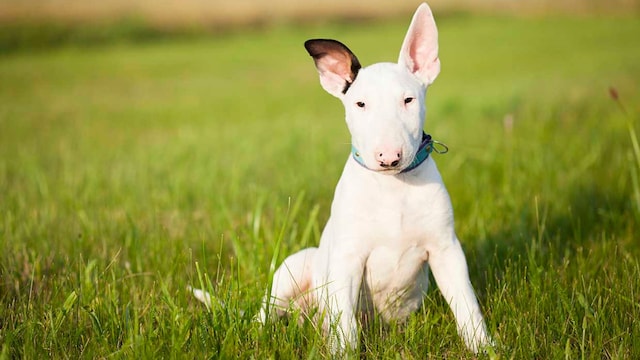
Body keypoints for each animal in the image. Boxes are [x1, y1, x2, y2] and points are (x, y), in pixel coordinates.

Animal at [192, 1, 492, 352]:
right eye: (360, 104)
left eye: (408, 100)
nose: (388, 157)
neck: (393, 187)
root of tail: (302, 314)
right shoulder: (348, 259)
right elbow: (345, 321)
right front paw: (344, 351)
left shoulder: (446, 250)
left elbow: (467, 305)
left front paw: (485, 347)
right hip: (293, 271)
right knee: (265, 314)